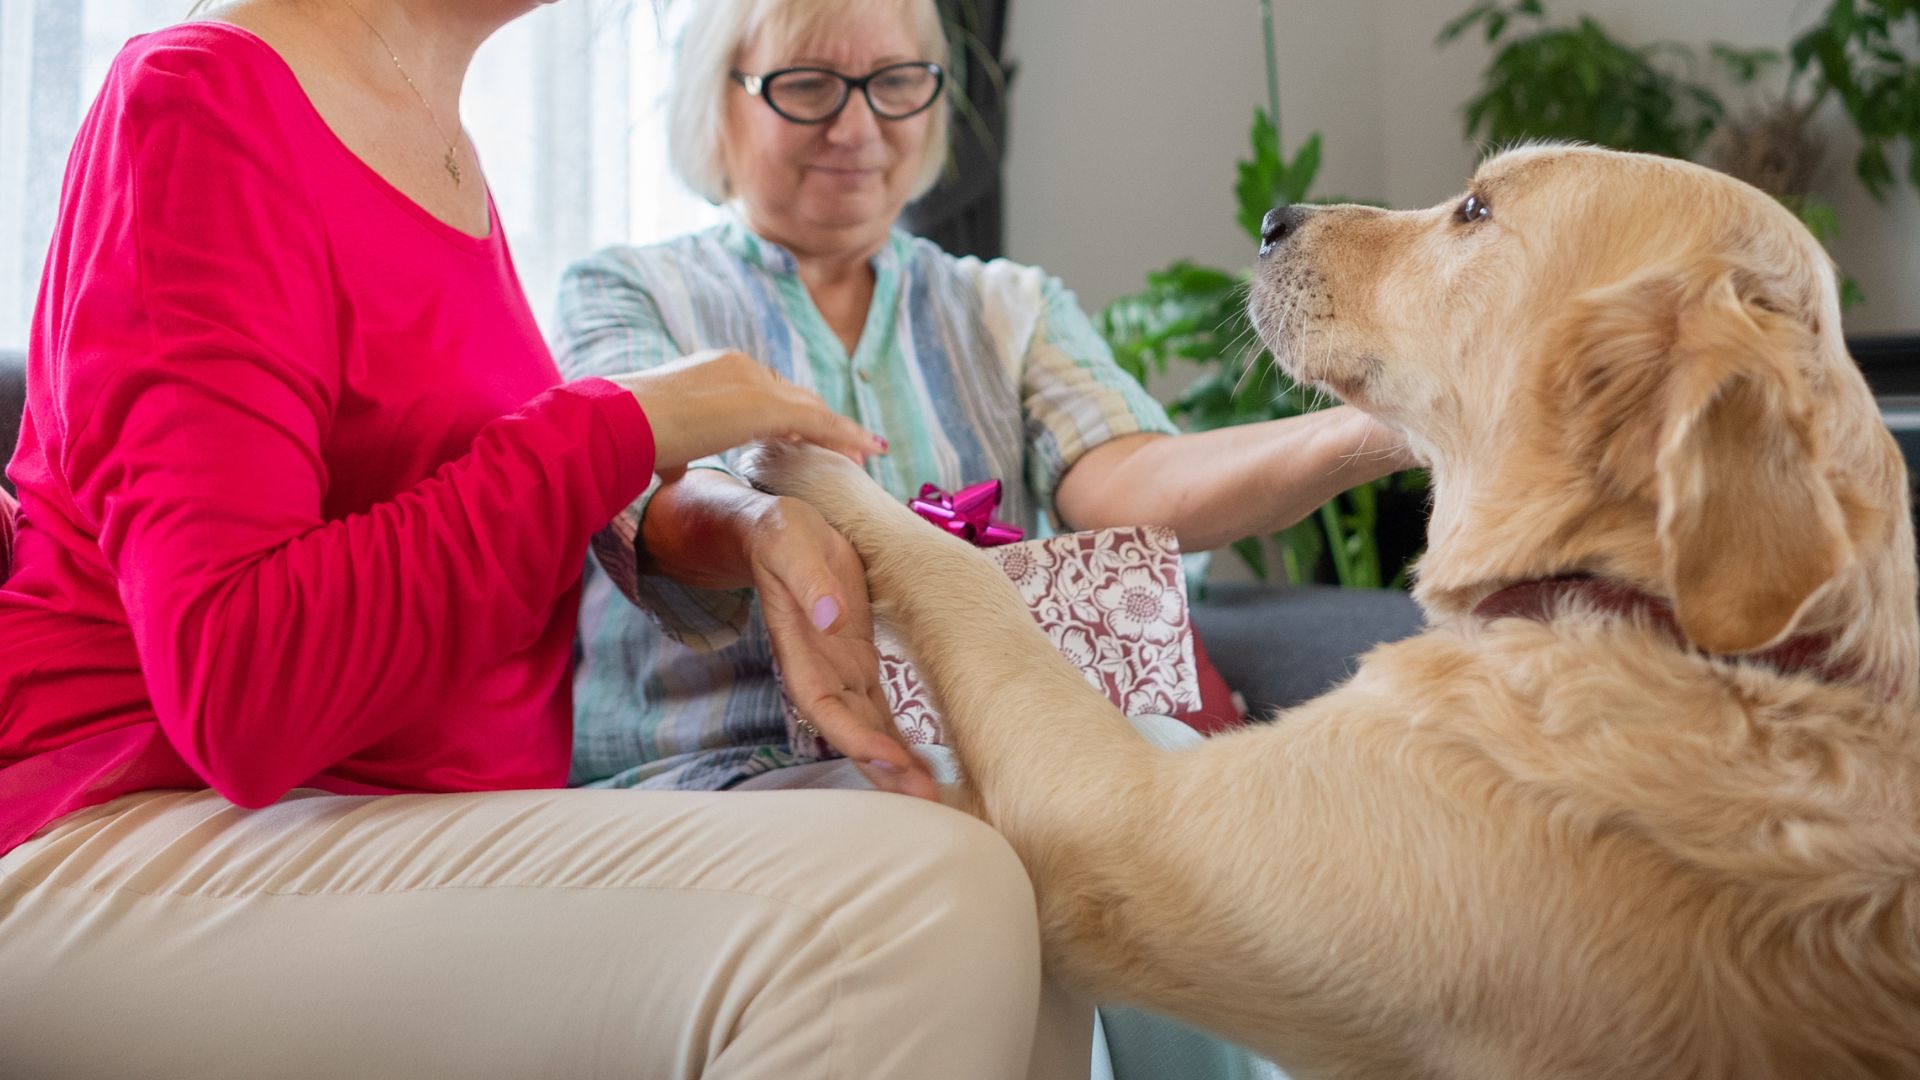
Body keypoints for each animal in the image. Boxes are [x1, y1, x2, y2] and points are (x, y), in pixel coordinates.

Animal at [744, 145, 1920, 1076]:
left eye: (1475, 209)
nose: (1272, 220)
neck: (1645, 614)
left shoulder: (1119, 821)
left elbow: (968, 577)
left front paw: (816, 462)